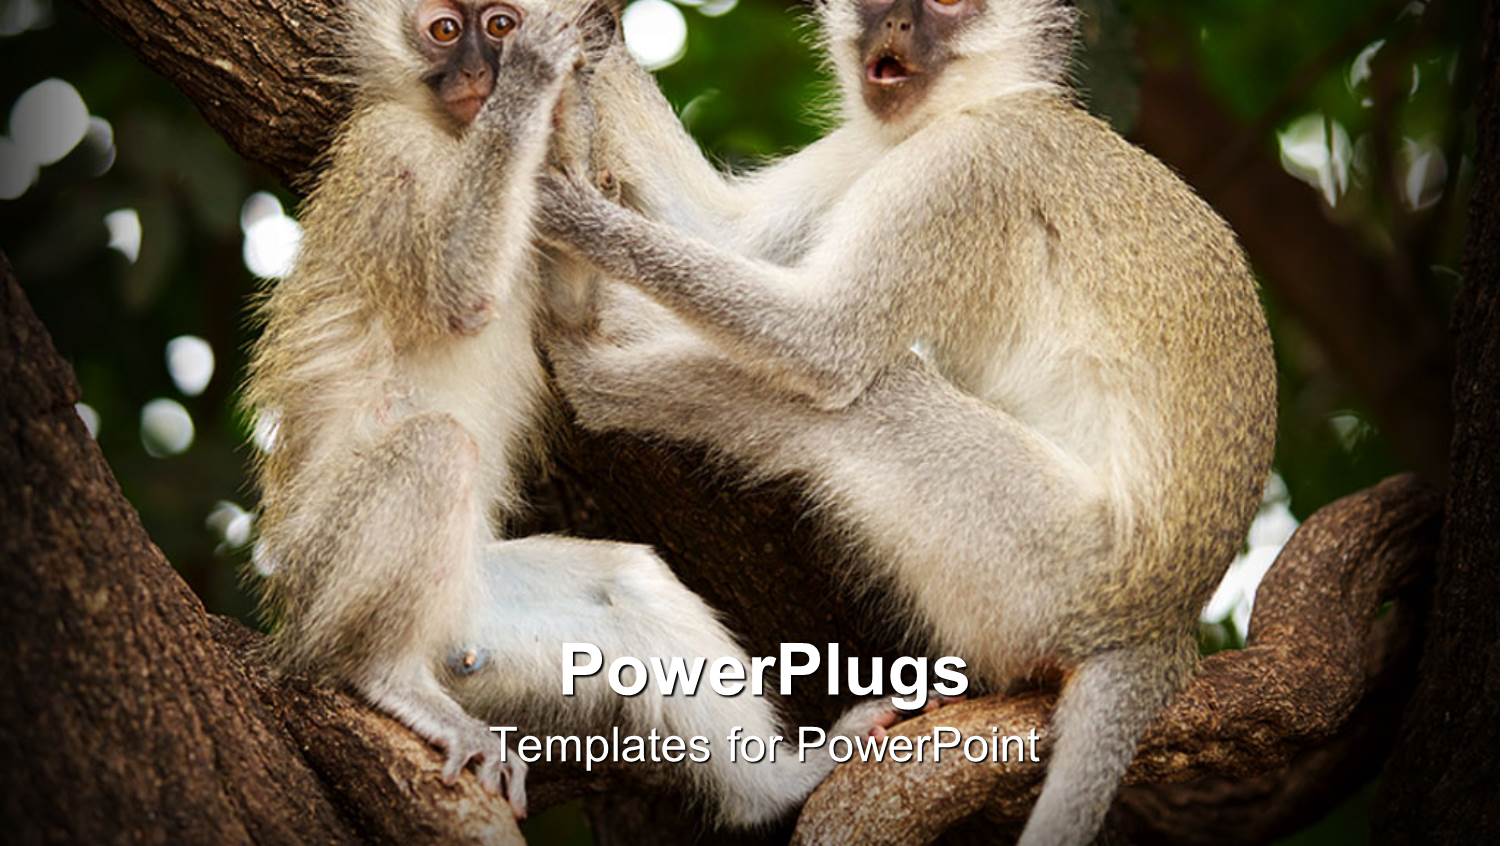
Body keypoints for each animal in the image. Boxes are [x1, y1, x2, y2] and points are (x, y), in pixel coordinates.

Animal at [243, 0, 917, 826]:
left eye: (496, 24)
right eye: (444, 30)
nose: (480, 72)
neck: (455, 139)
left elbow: (575, 309)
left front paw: (576, 100)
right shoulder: (387, 149)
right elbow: (457, 293)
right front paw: (538, 80)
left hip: (483, 633)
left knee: (629, 578)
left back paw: (775, 786)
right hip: (325, 575)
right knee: (437, 450)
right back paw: (384, 677)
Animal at [534, 0, 1278, 842]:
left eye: (948, 6)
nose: (893, 24)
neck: (968, 103)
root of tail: (1161, 626)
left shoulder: (965, 170)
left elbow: (825, 343)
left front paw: (569, 214)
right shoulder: (871, 145)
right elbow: (721, 230)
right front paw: (580, 34)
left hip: (1046, 558)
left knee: (870, 400)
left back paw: (594, 374)